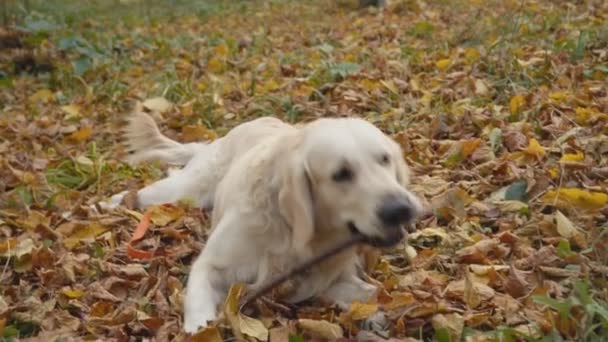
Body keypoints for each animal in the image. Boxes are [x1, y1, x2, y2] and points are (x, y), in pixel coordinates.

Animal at [107, 105, 422, 332]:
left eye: (384, 159)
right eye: (341, 174)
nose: (401, 209)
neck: (294, 233)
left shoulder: (328, 278)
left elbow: (372, 293)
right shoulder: (210, 265)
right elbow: (198, 308)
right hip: (187, 190)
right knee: (144, 194)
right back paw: (110, 202)